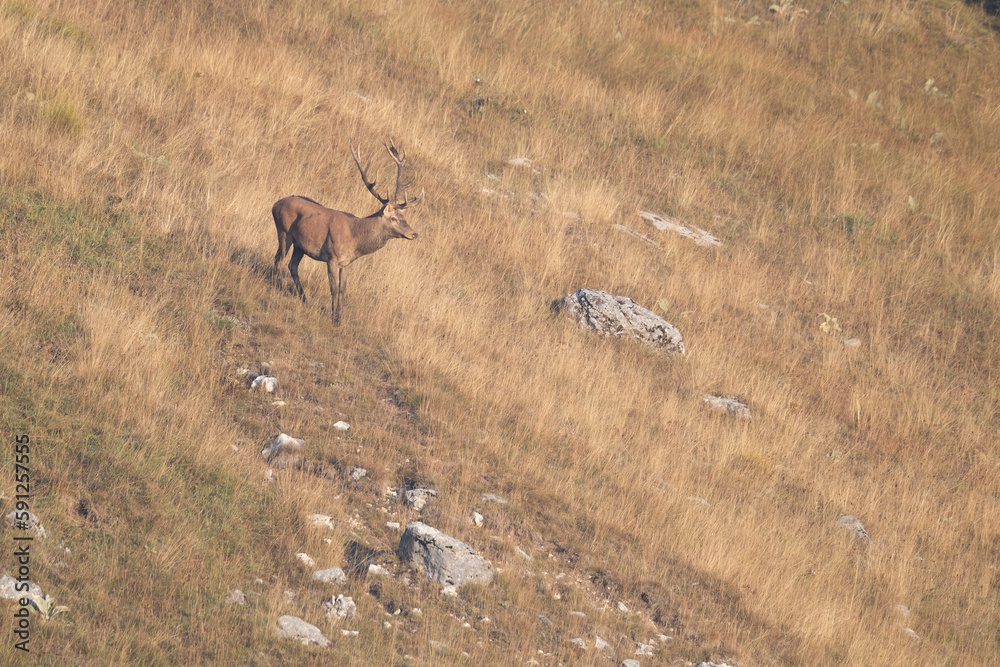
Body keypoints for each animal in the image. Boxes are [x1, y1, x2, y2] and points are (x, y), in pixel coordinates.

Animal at [271, 139, 421, 324]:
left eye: (403, 216)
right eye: (393, 218)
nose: (414, 234)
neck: (354, 237)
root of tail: (274, 205)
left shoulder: (348, 262)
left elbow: (343, 288)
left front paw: (339, 317)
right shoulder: (331, 257)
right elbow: (334, 288)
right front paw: (333, 317)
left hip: (300, 246)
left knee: (292, 265)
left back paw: (303, 297)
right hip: (283, 231)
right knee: (279, 259)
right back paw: (282, 288)